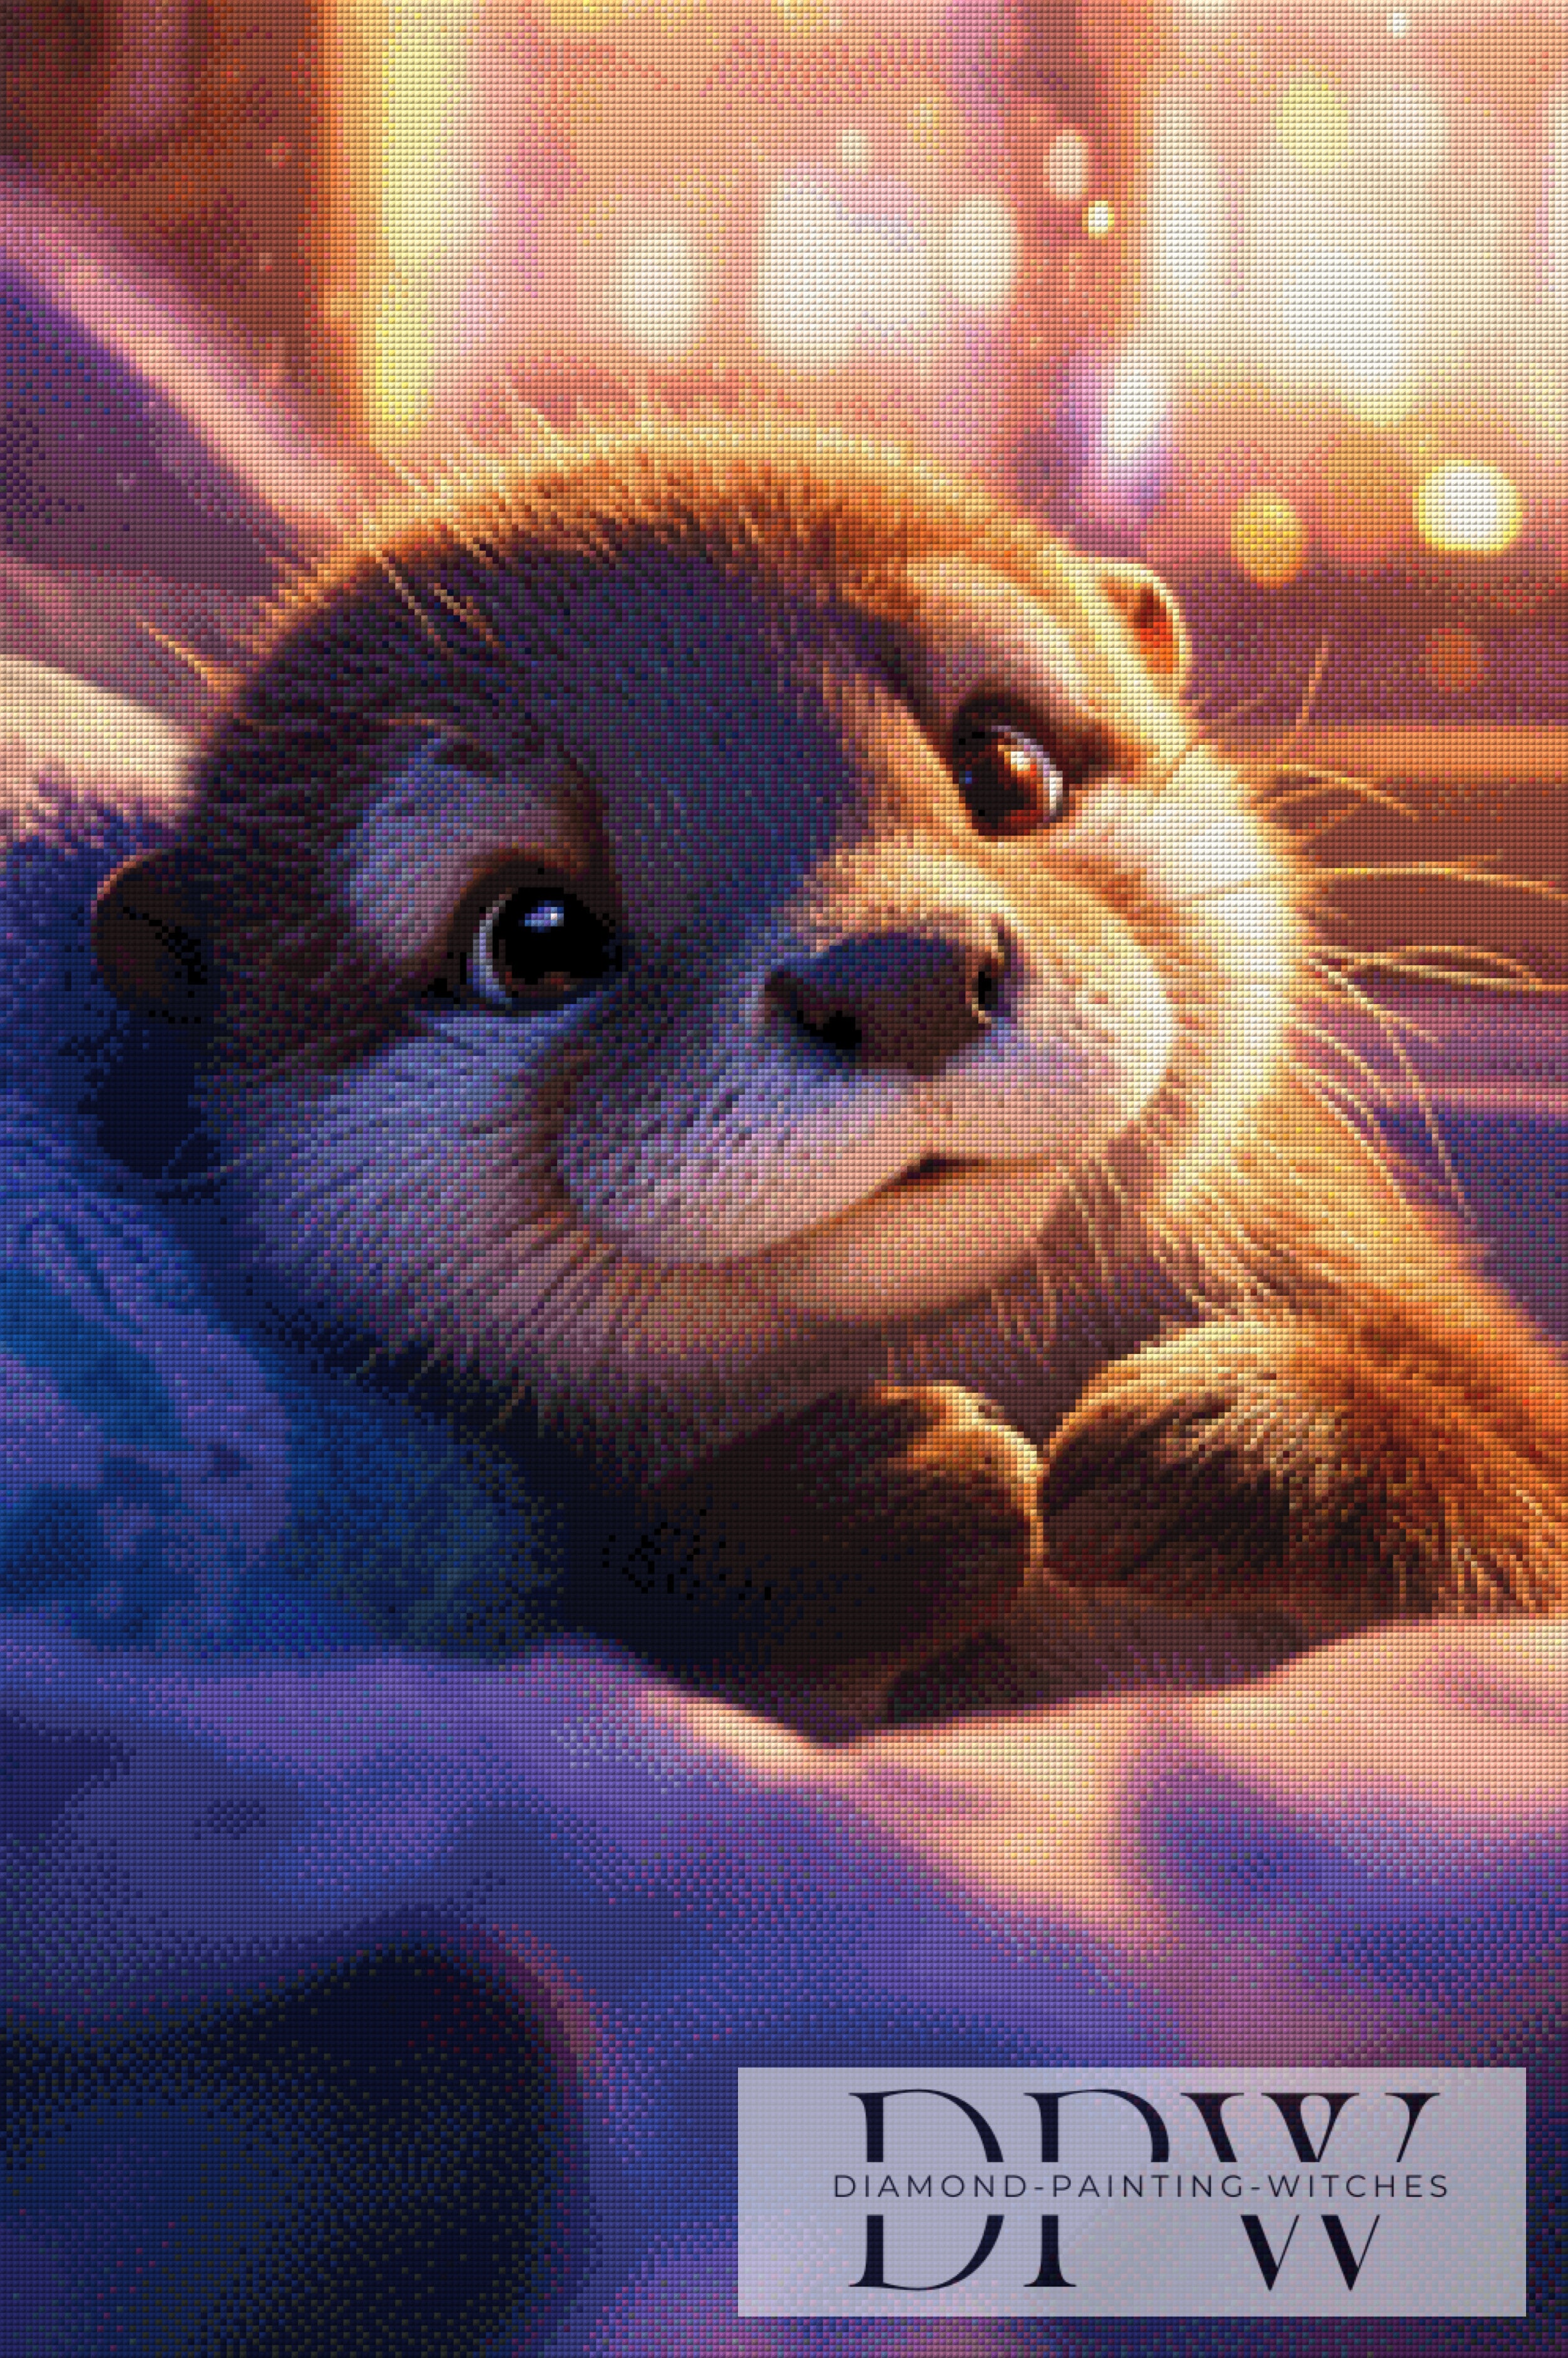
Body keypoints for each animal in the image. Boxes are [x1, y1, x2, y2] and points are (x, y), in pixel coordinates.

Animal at [90, 409, 1568, 1734]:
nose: (901, 974)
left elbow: (1527, 1489)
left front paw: (1249, 1436)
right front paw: (848, 1517)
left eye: (1007, 766)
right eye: (532, 937)